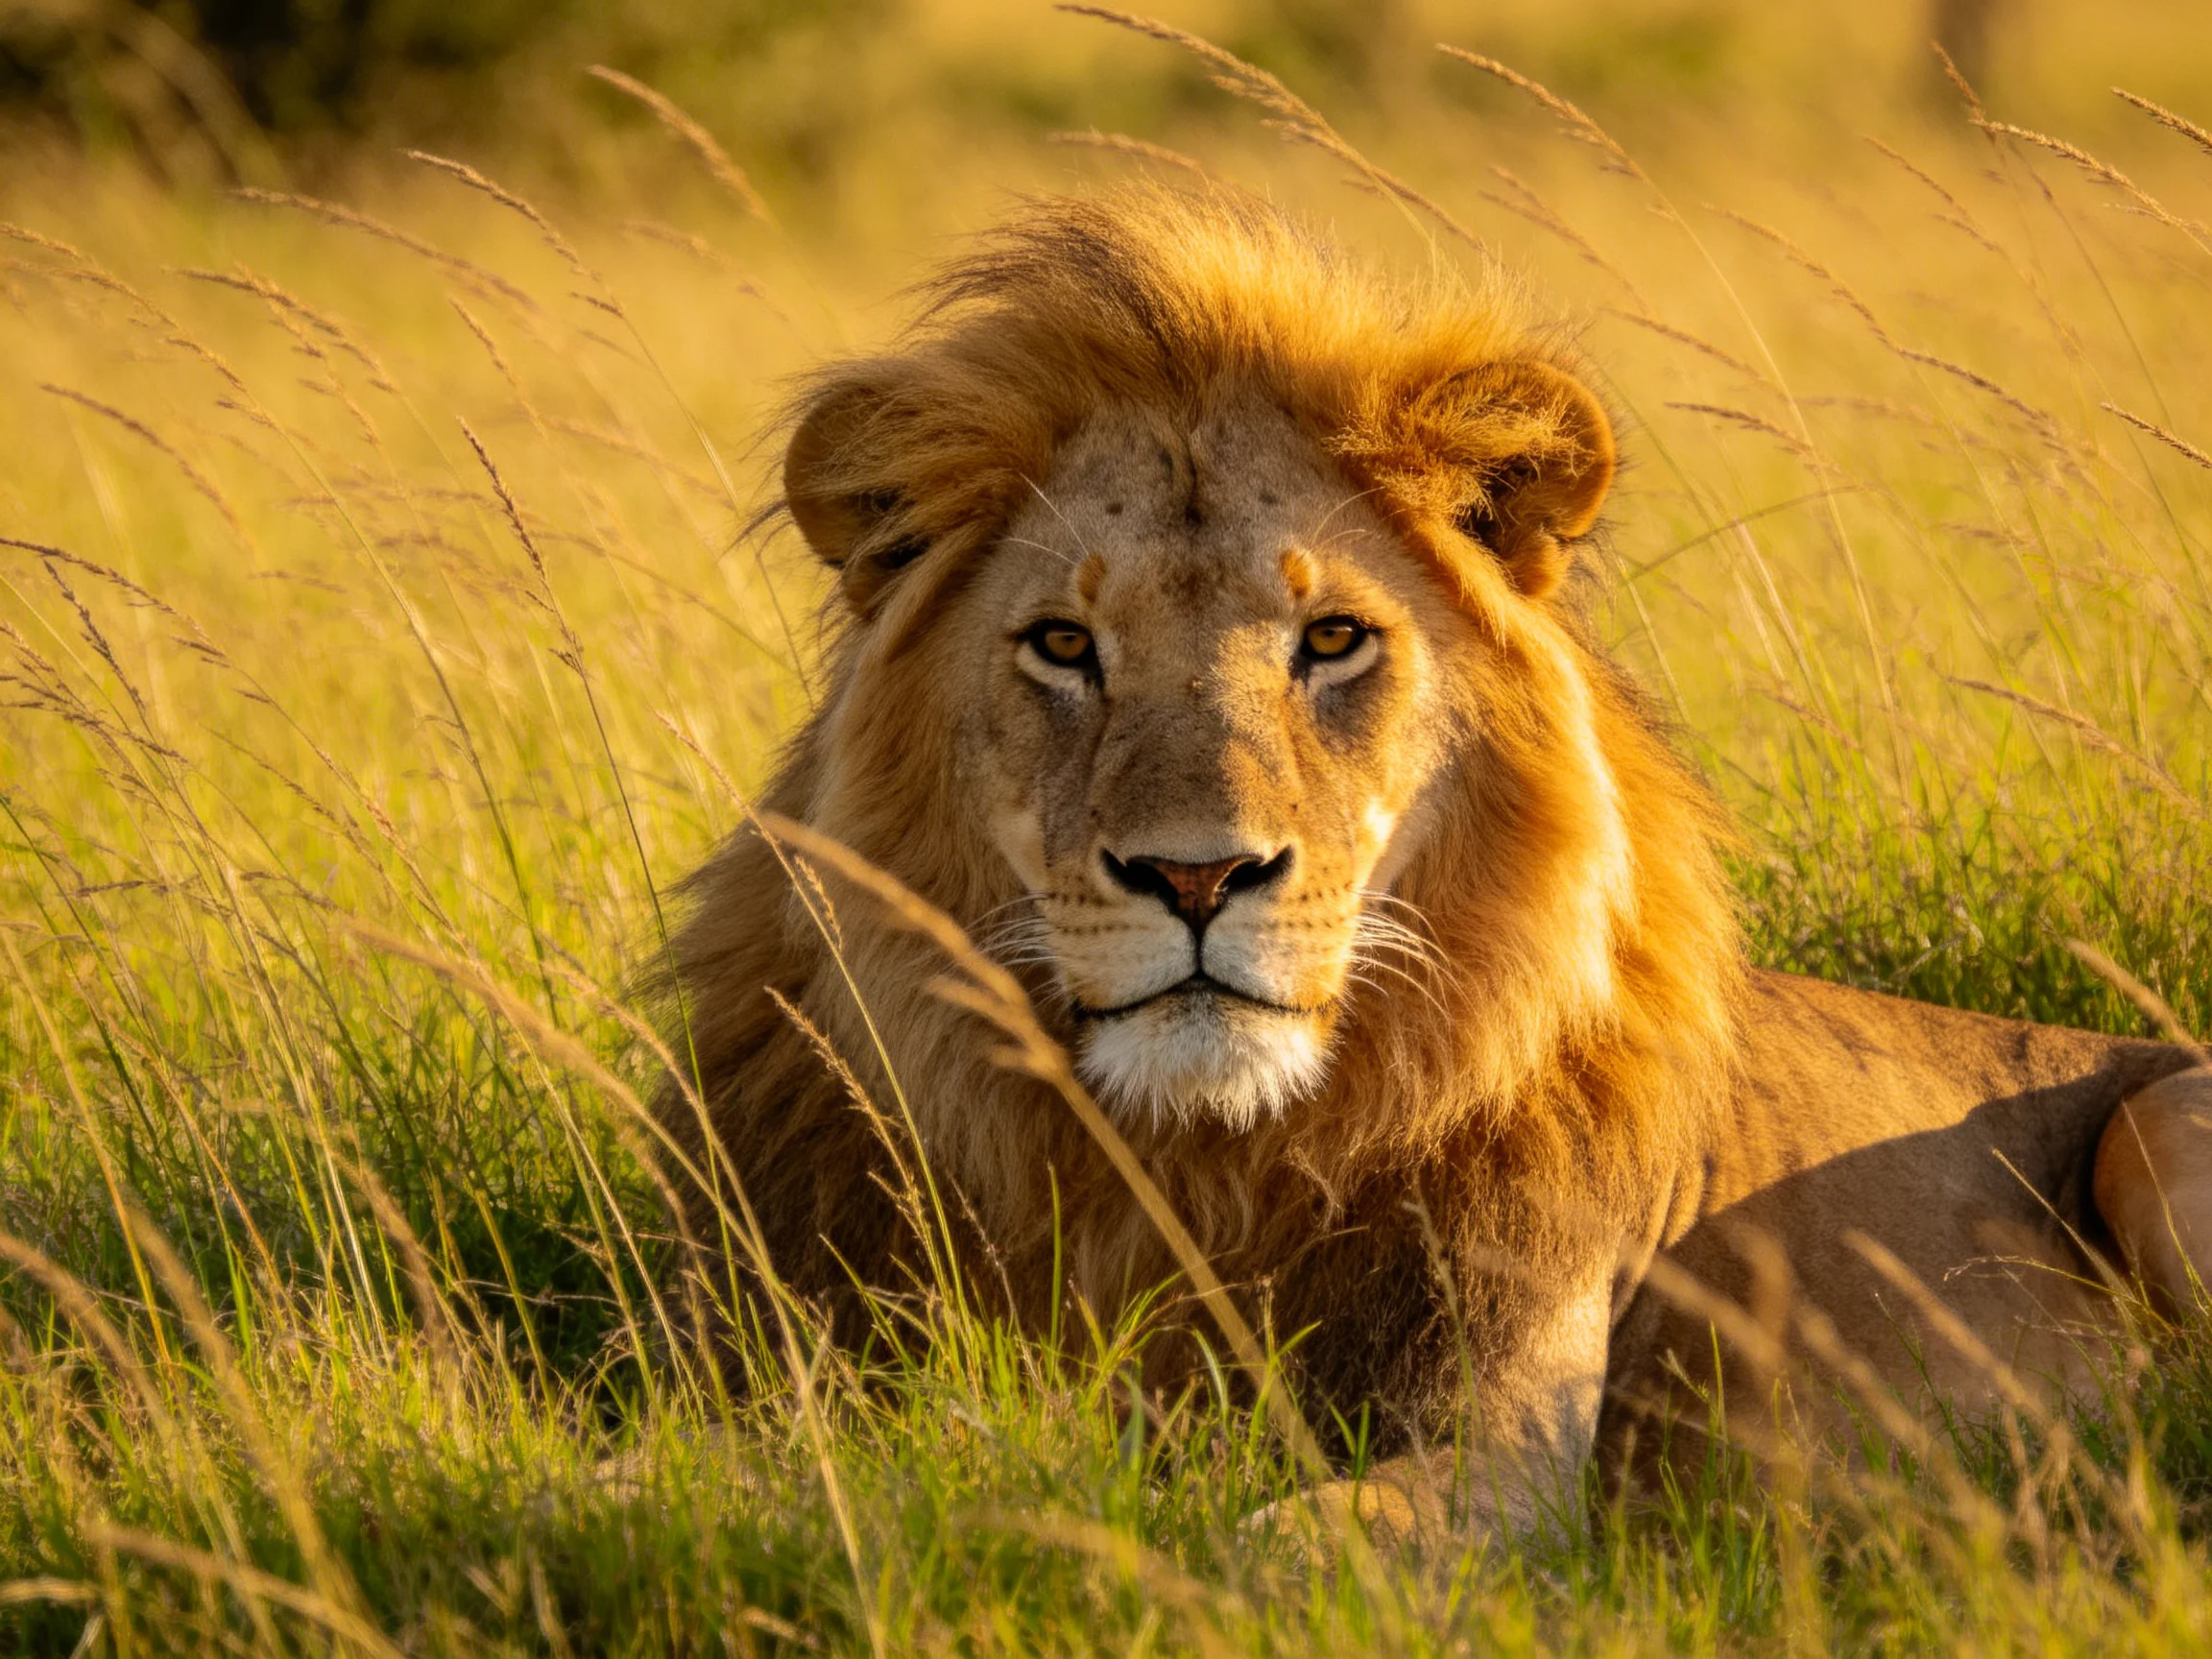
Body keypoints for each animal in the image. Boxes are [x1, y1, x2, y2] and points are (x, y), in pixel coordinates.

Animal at [660, 183, 2212, 1544]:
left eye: (1334, 639)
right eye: (1062, 645)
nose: (1198, 879)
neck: (1194, 1163)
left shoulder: (1510, 1443)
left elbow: (1280, 1545)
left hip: (2162, 1124)